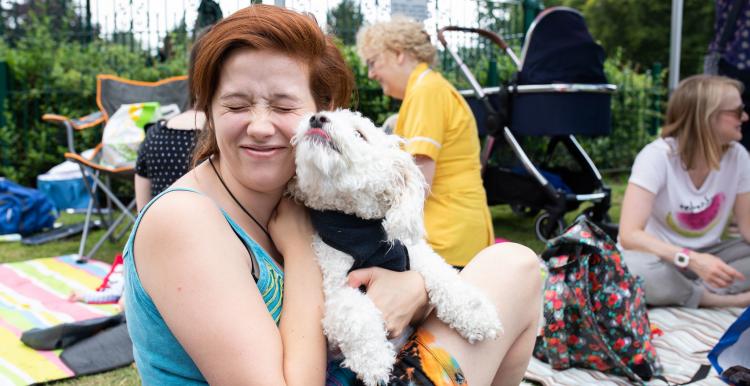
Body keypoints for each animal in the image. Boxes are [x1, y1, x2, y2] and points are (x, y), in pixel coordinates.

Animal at [290, 109, 502, 386]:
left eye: (360, 133)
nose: (317, 118)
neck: (358, 228)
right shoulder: (336, 287)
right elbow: (355, 312)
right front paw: (374, 360)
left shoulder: (415, 254)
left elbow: (446, 278)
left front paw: (477, 315)